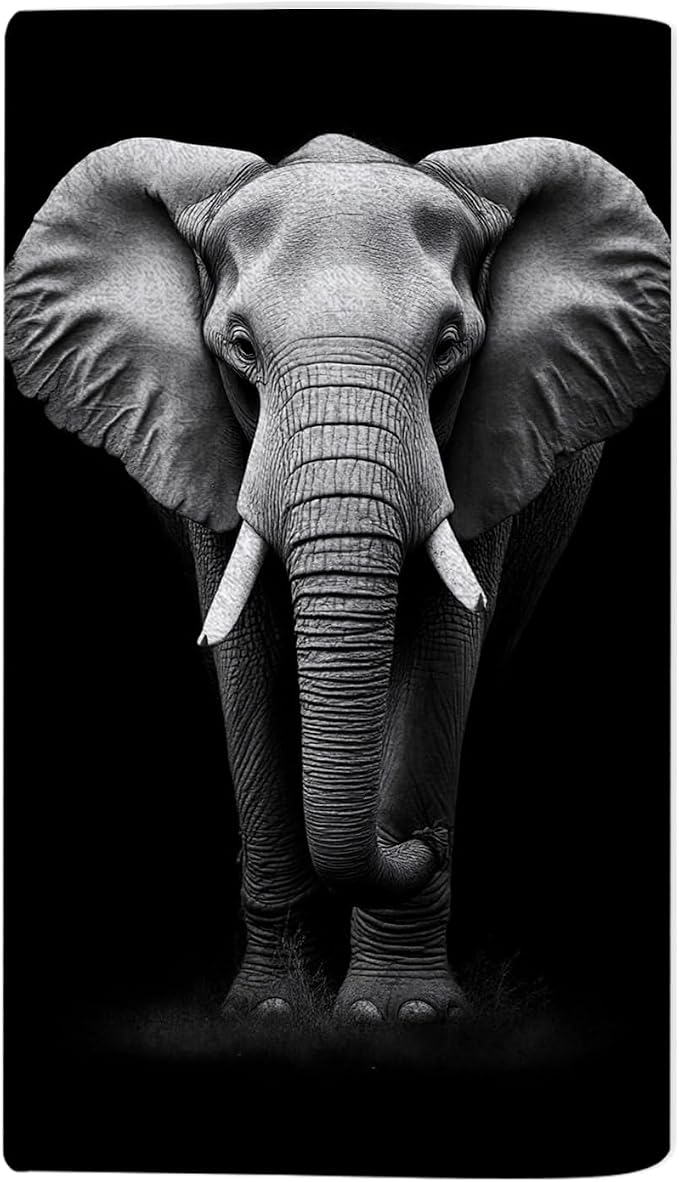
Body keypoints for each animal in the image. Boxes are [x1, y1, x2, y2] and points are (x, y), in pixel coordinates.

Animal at [5, 132, 669, 1025]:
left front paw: (401, 1017)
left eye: (449, 345)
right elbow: (246, 673)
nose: (422, 840)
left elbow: (439, 660)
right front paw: (272, 1013)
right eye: (241, 346)